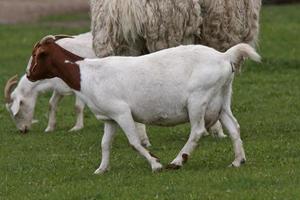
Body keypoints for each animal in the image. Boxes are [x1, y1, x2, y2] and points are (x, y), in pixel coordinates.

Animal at [25, 36, 260, 173]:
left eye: (36, 55)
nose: (28, 74)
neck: (86, 72)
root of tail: (224, 56)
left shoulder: (121, 112)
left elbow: (134, 142)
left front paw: (155, 164)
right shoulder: (109, 118)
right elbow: (105, 144)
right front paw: (101, 169)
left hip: (198, 99)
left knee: (197, 130)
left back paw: (177, 161)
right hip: (221, 99)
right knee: (234, 127)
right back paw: (238, 161)